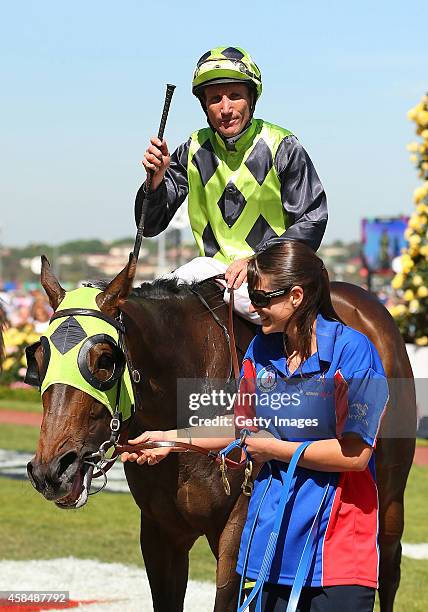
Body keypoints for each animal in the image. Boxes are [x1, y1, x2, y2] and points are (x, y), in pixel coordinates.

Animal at [26, 256, 414, 608]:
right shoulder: (159, 534)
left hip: (390, 497)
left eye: (105, 360)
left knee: (388, 566)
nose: (51, 471)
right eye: (39, 358)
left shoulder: (237, 529)